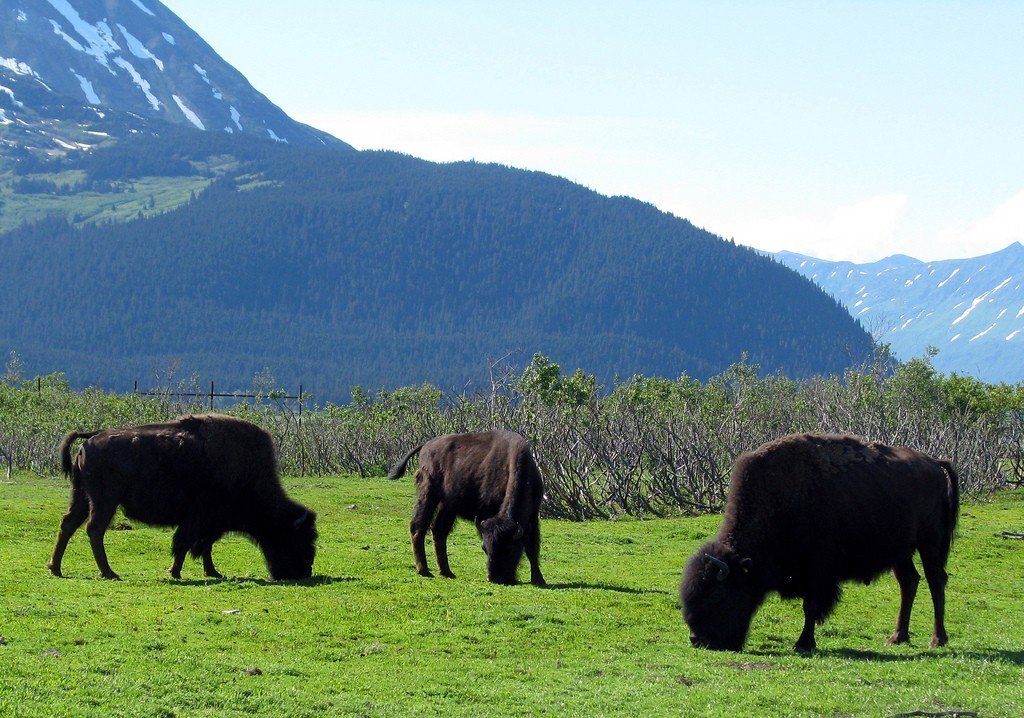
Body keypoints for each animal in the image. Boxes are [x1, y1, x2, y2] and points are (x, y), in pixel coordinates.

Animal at [47, 411, 315, 581]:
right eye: (298, 538)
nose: (303, 572)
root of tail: (91, 437)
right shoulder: (201, 519)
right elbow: (188, 544)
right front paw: (175, 571)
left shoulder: (208, 523)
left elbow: (204, 546)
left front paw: (212, 572)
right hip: (105, 501)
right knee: (94, 529)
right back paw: (109, 573)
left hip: (82, 497)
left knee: (68, 524)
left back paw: (56, 569)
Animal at [385, 428, 544, 585]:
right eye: (484, 548)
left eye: (509, 549)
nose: (494, 578)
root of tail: (426, 445)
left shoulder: (533, 516)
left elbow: (532, 547)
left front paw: (538, 579)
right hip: (428, 495)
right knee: (418, 527)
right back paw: (424, 571)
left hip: (448, 506)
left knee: (439, 532)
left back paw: (447, 572)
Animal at [679, 428, 958, 651]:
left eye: (716, 597)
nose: (698, 640)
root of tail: (934, 462)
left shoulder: (819, 571)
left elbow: (810, 606)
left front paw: (803, 644)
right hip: (901, 551)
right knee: (909, 582)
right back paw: (897, 637)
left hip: (930, 542)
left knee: (935, 580)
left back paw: (937, 640)